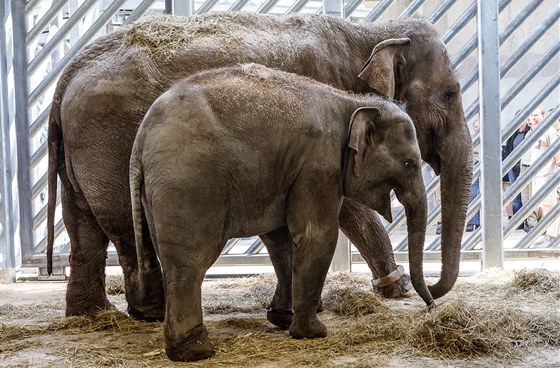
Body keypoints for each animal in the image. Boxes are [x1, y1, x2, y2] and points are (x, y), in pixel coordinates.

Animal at [47, 12, 472, 322]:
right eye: (449, 95)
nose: (432, 298)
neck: (369, 32)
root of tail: (67, 74)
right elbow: (344, 206)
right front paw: (395, 290)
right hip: (108, 142)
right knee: (127, 224)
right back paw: (150, 312)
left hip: (81, 152)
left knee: (83, 224)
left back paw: (91, 315)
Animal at [130, 64, 434, 362]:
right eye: (409, 164)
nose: (431, 306)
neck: (352, 102)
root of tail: (141, 138)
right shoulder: (319, 163)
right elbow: (316, 234)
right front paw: (313, 333)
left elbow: (281, 239)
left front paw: (283, 319)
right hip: (189, 183)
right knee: (190, 262)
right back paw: (195, 352)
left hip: (158, 192)